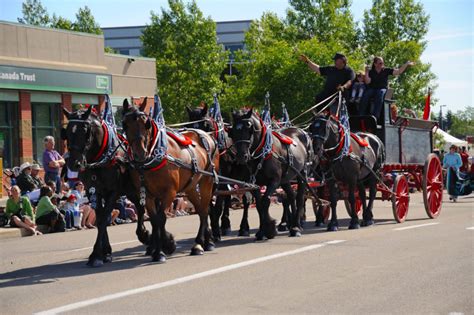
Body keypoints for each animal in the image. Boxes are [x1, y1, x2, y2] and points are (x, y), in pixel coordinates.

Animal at [62, 105, 149, 266]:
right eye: (67, 131)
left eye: (85, 131)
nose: (73, 163)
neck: (100, 158)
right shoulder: (93, 191)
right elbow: (100, 217)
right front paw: (106, 252)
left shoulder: (113, 192)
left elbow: (103, 220)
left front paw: (96, 254)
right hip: (130, 191)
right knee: (140, 208)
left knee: (142, 208)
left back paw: (145, 235)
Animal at [121, 100, 219, 262]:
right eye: (124, 124)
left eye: (146, 123)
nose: (140, 153)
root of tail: (207, 136)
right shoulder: (147, 195)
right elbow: (154, 220)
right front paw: (159, 249)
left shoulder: (169, 192)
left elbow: (161, 219)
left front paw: (163, 249)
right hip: (190, 187)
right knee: (201, 210)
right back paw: (201, 242)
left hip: (207, 181)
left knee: (205, 209)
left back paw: (200, 244)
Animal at [185, 105, 252, 241]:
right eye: (189, 125)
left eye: (206, 125)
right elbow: (209, 206)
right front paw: (210, 231)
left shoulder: (219, 181)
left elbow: (217, 207)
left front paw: (214, 232)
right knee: (228, 198)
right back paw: (225, 225)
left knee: (245, 200)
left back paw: (243, 227)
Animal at [228, 108, 312, 239]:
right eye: (233, 131)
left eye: (249, 128)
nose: (242, 156)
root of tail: (301, 131)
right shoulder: (254, 184)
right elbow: (259, 205)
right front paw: (262, 231)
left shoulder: (274, 181)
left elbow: (266, 201)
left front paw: (270, 227)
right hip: (285, 179)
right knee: (291, 196)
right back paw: (292, 224)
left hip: (302, 174)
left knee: (299, 197)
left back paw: (296, 227)